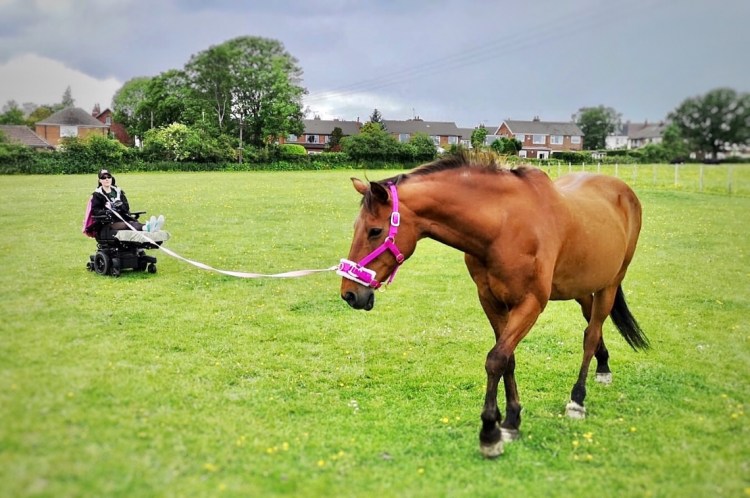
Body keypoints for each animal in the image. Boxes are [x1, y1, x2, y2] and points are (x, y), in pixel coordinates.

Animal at [338, 152, 649, 458]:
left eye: (375, 231)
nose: (350, 294)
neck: (504, 227)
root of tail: (623, 191)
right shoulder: (491, 301)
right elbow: (508, 360)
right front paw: (511, 421)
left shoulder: (530, 304)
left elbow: (496, 359)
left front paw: (490, 433)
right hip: (583, 287)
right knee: (592, 324)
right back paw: (603, 366)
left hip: (610, 284)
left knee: (591, 335)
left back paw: (577, 399)